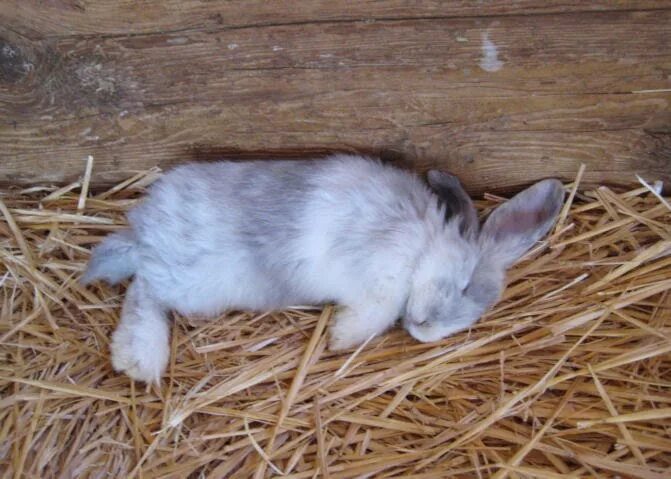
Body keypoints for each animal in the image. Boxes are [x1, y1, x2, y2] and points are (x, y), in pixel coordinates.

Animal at [84, 156, 568, 384]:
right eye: (465, 285)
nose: (425, 329)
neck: (426, 245)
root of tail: (145, 228)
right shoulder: (385, 267)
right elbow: (377, 308)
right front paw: (342, 337)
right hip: (189, 281)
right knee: (144, 290)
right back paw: (140, 358)